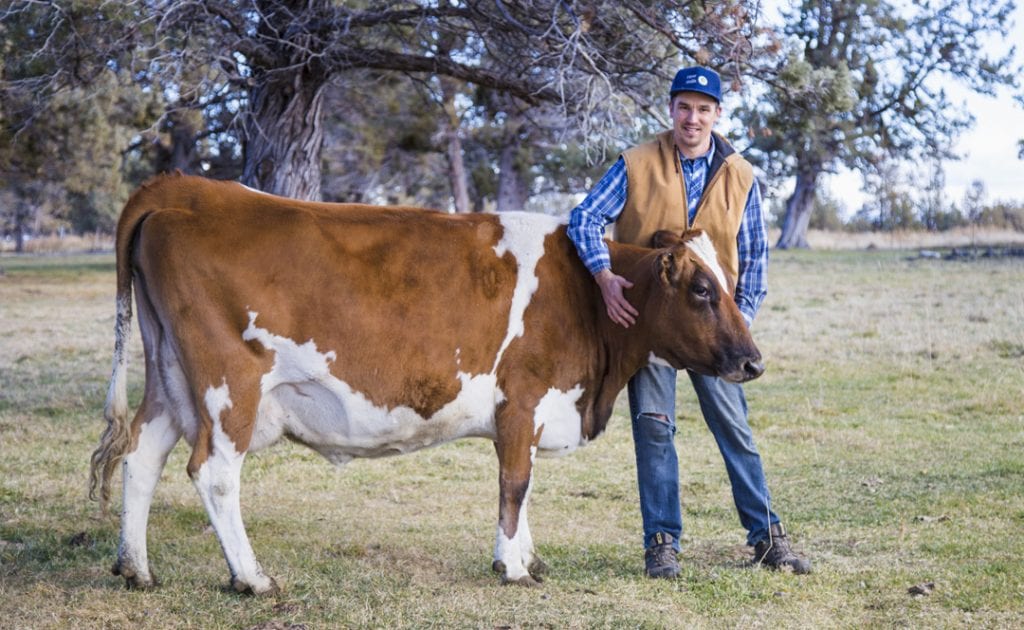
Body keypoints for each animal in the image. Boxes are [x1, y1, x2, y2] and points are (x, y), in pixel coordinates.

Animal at [90, 174, 761, 598]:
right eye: (702, 289)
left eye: (730, 281)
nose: (753, 362)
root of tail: (193, 188)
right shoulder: (522, 400)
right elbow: (515, 485)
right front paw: (511, 567)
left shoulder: (534, 413)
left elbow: (525, 488)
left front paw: (528, 557)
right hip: (229, 387)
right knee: (214, 472)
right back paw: (251, 578)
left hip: (170, 378)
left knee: (142, 454)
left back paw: (136, 568)